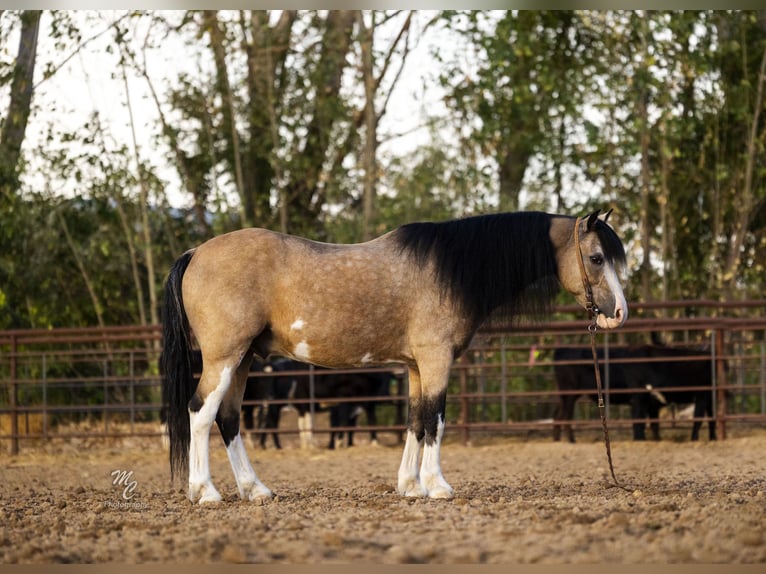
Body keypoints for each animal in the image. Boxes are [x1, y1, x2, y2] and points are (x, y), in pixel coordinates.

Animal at [160, 210, 632, 504]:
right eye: (596, 257)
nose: (619, 314)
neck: (450, 270)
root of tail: (195, 253)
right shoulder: (436, 359)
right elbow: (435, 420)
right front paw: (437, 486)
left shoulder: (415, 366)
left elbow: (414, 421)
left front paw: (410, 486)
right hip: (224, 357)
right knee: (200, 412)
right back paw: (205, 492)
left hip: (243, 361)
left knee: (229, 419)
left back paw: (254, 490)